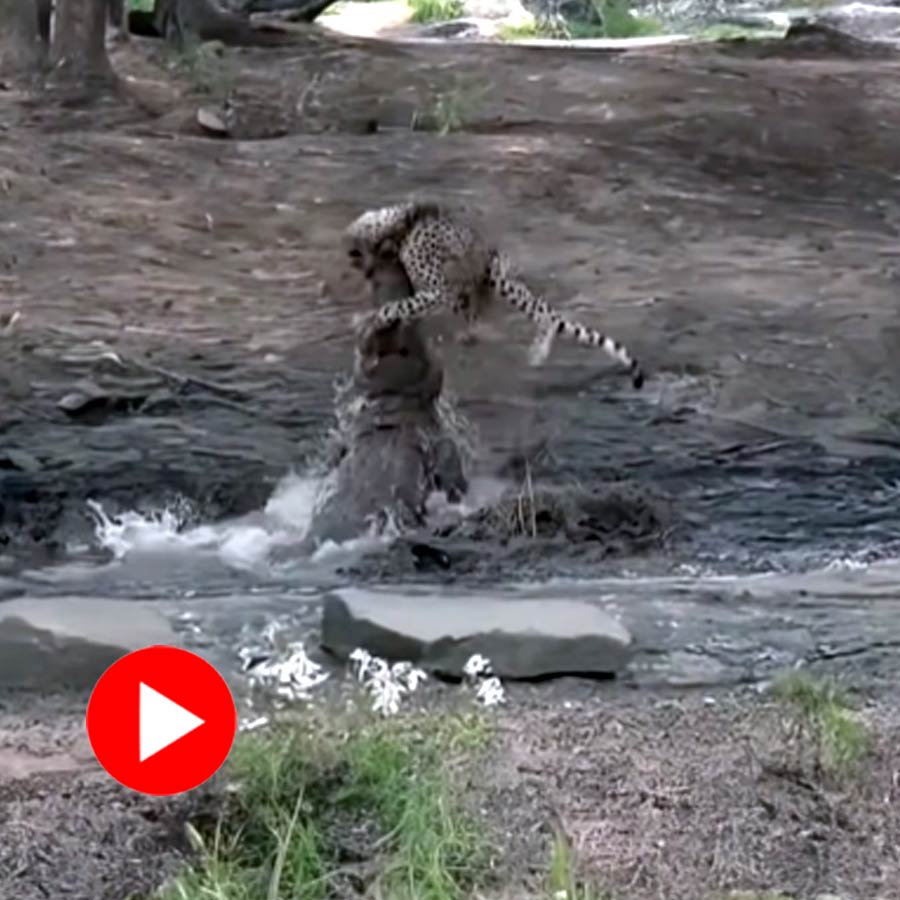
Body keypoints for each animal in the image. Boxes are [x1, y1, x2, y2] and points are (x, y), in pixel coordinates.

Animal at [343, 200, 645, 389]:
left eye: (356, 259)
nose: (365, 272)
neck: (403, 224)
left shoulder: (438, 290)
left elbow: (399, 305)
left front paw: (370, 318)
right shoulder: (438, 290)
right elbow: (409, 305)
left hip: (497, 275)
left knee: (544, 311)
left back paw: (539, 345)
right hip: (472, 287)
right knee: (472, 310)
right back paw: (470, 332)